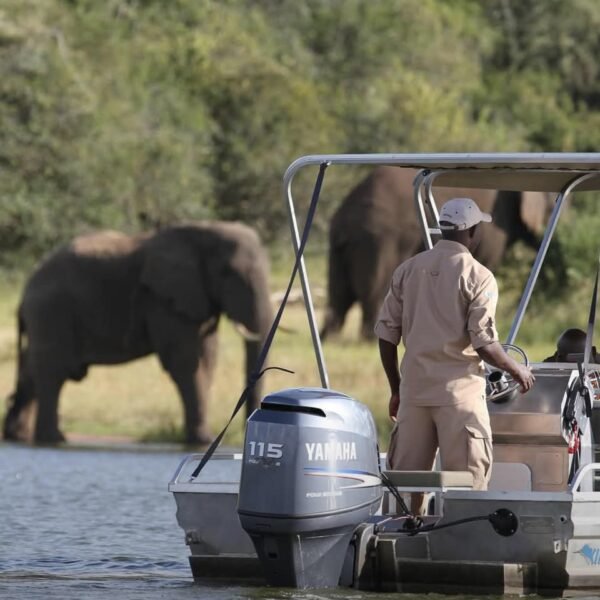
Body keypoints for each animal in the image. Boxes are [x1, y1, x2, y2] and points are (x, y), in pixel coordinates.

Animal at [3, 221, 273, 444]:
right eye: (228, 273)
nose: (246, 430)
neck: (203, 231)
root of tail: (25, 293)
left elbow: (206, 359)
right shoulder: (164, 300)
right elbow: (187, 363)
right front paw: (202, 440)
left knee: (32, 370)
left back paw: (18, 436)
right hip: (51, 311)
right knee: (52, 371)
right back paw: (53, 439)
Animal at [321, 166, 556, 341]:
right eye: (551, 208)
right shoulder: (496, 227)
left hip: (340, 242)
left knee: (338, 295)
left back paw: (329, 339)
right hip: (378, 239)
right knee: (375, 288)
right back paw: (371, 338)